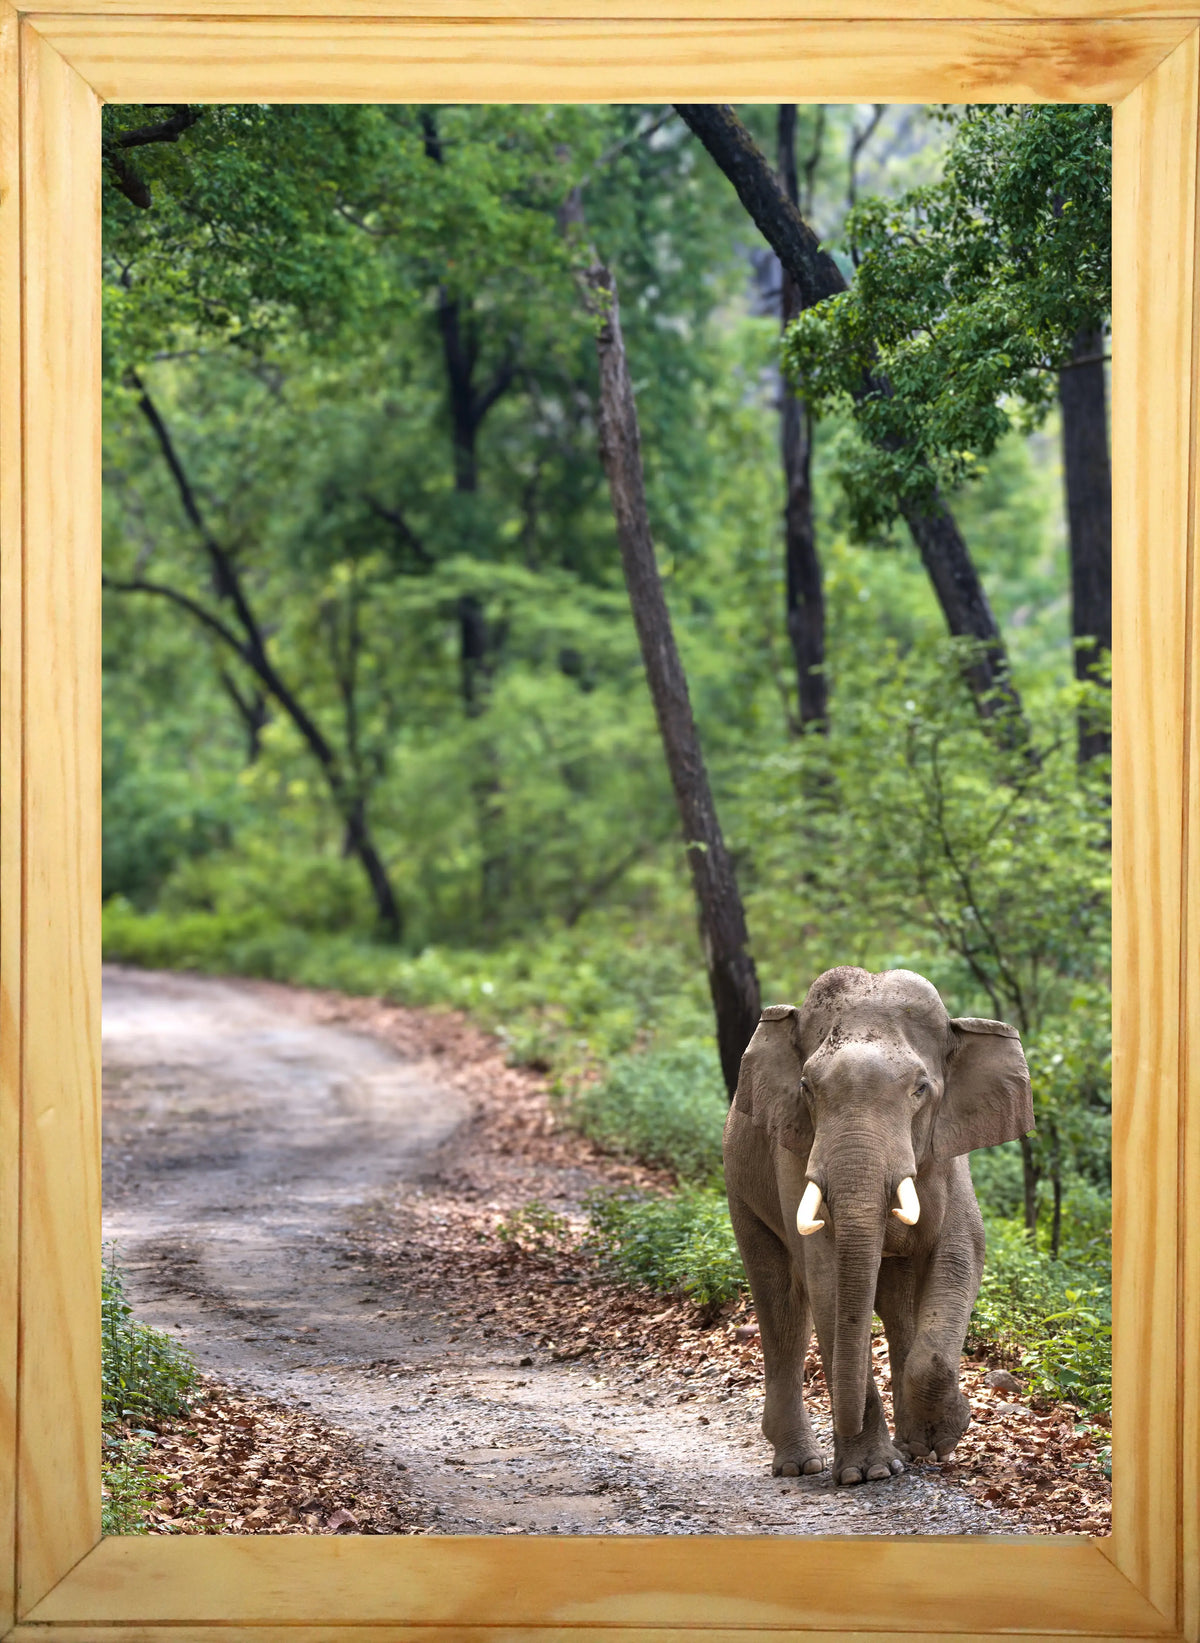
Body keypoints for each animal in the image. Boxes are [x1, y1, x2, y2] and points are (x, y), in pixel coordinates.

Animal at [724, 965, 1032, 1486]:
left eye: (921, 1088)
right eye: (806, 1087)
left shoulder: (949, 1155)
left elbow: (960, 1252)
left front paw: (942, 1435)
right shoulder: (794, 1153)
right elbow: (827, 1277)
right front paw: (867, 1473)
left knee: (895, 1300)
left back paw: (913, 1446)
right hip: (740, 1187)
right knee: (782, 1302)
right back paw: (801, 1463)